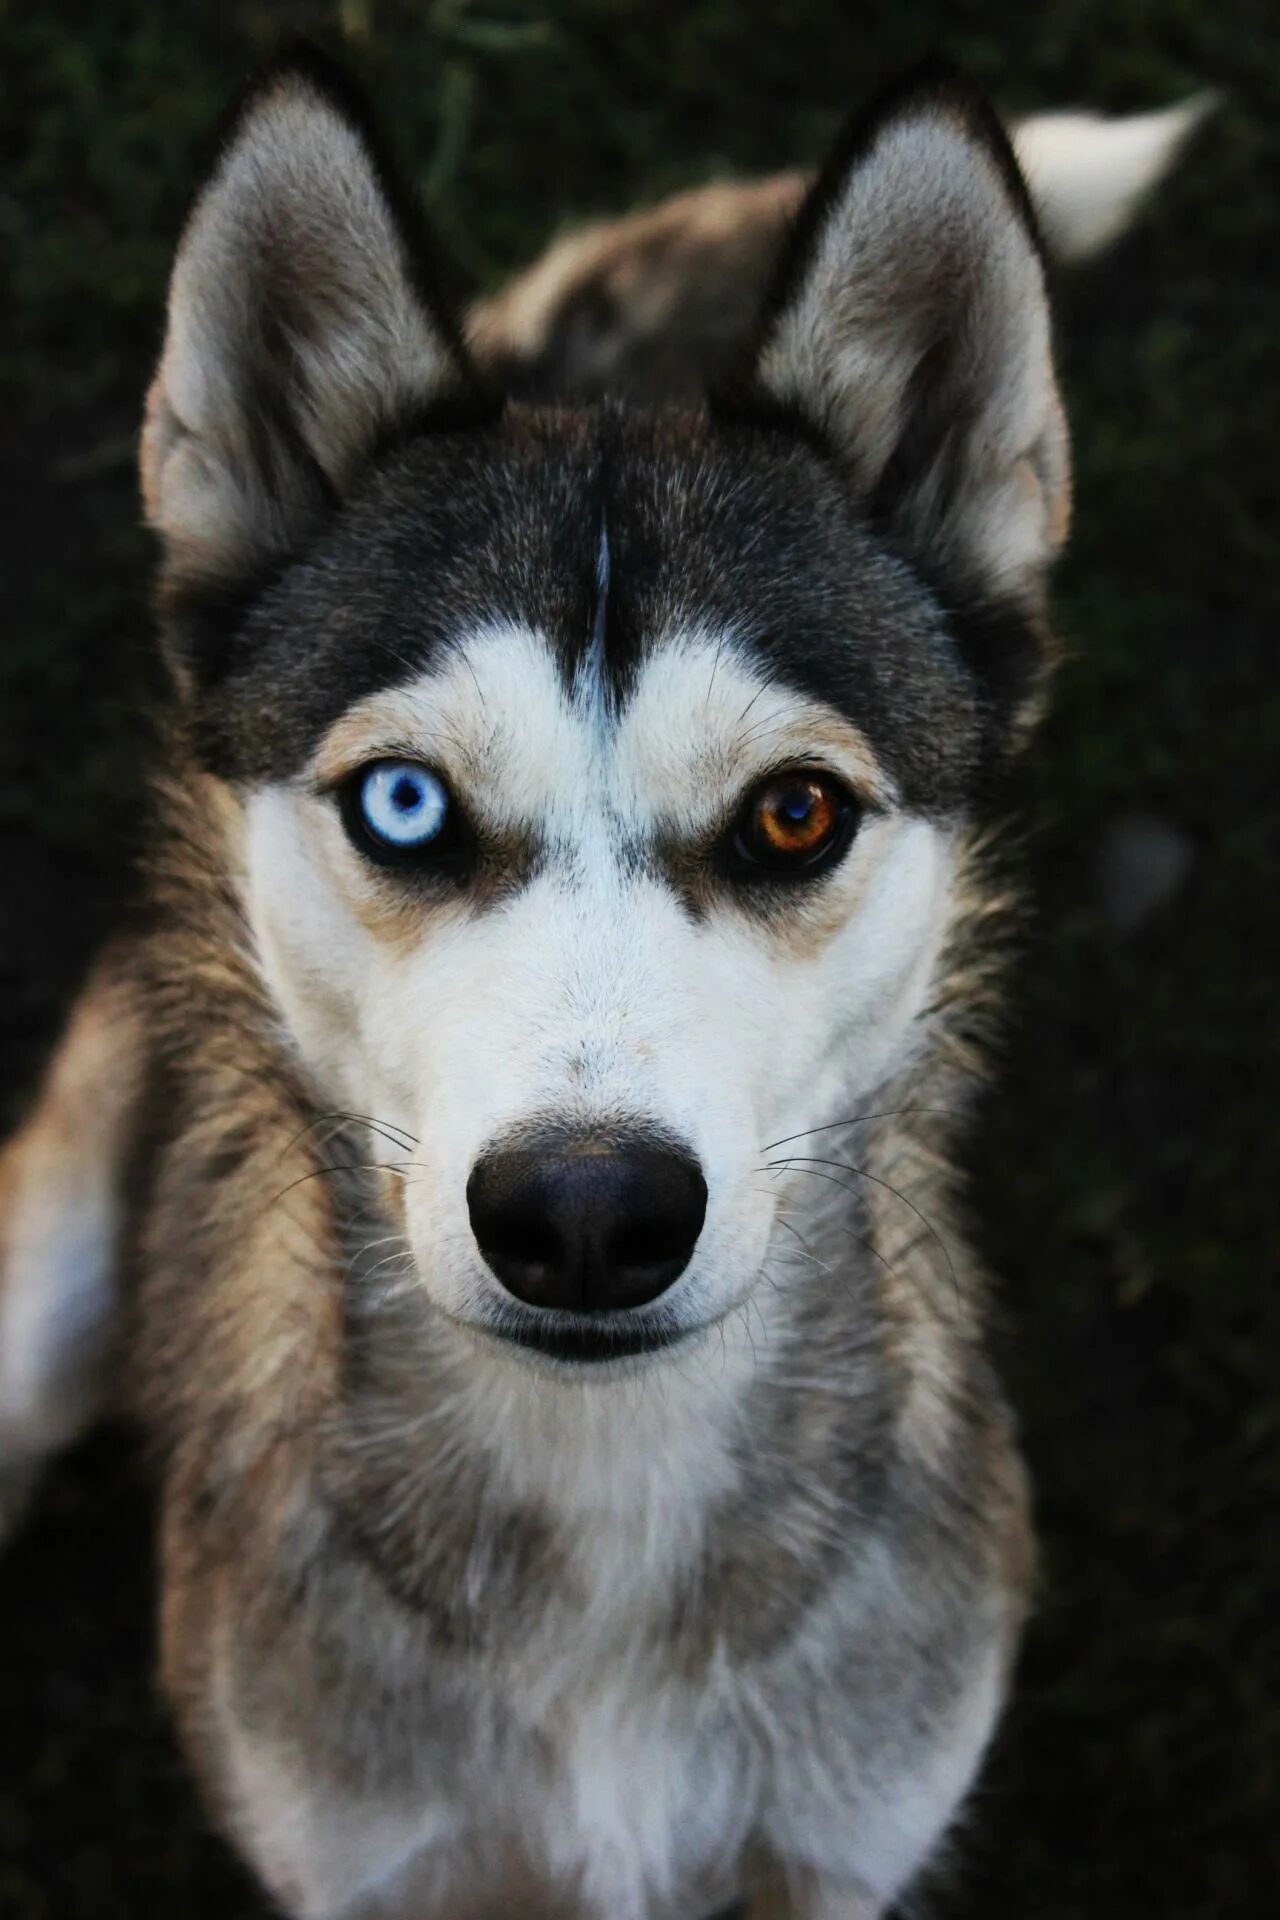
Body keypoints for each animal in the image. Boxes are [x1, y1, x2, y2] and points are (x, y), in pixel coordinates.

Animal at [0, 52, 1205, 1912]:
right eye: (404, 803)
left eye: (795, 811)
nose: (583, 1214)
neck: (605, 1514)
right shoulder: (362, 1859)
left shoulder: (840, 1845)